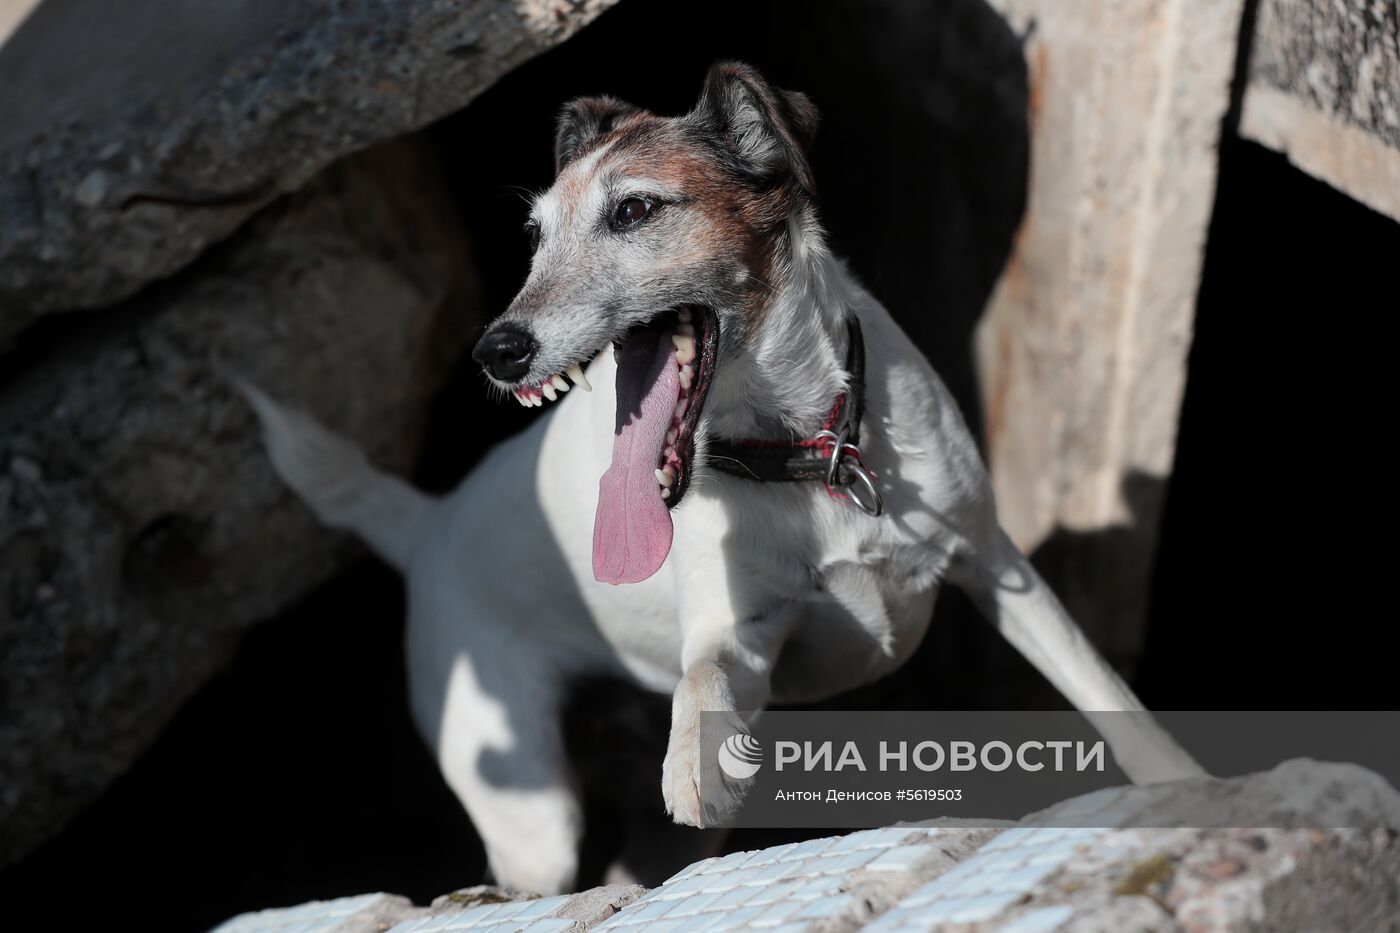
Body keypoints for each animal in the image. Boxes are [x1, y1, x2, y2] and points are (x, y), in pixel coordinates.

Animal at [243, 61, 1204, 890]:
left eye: (634, 210)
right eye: (536, 236)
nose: (497, 350)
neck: (803, 453)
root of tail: (427, 522)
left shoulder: (993, 560)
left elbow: (1102, 688)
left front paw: (1181, 782)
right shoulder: (739, 634)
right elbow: (703, 675)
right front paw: (695, 760)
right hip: (532, 810)